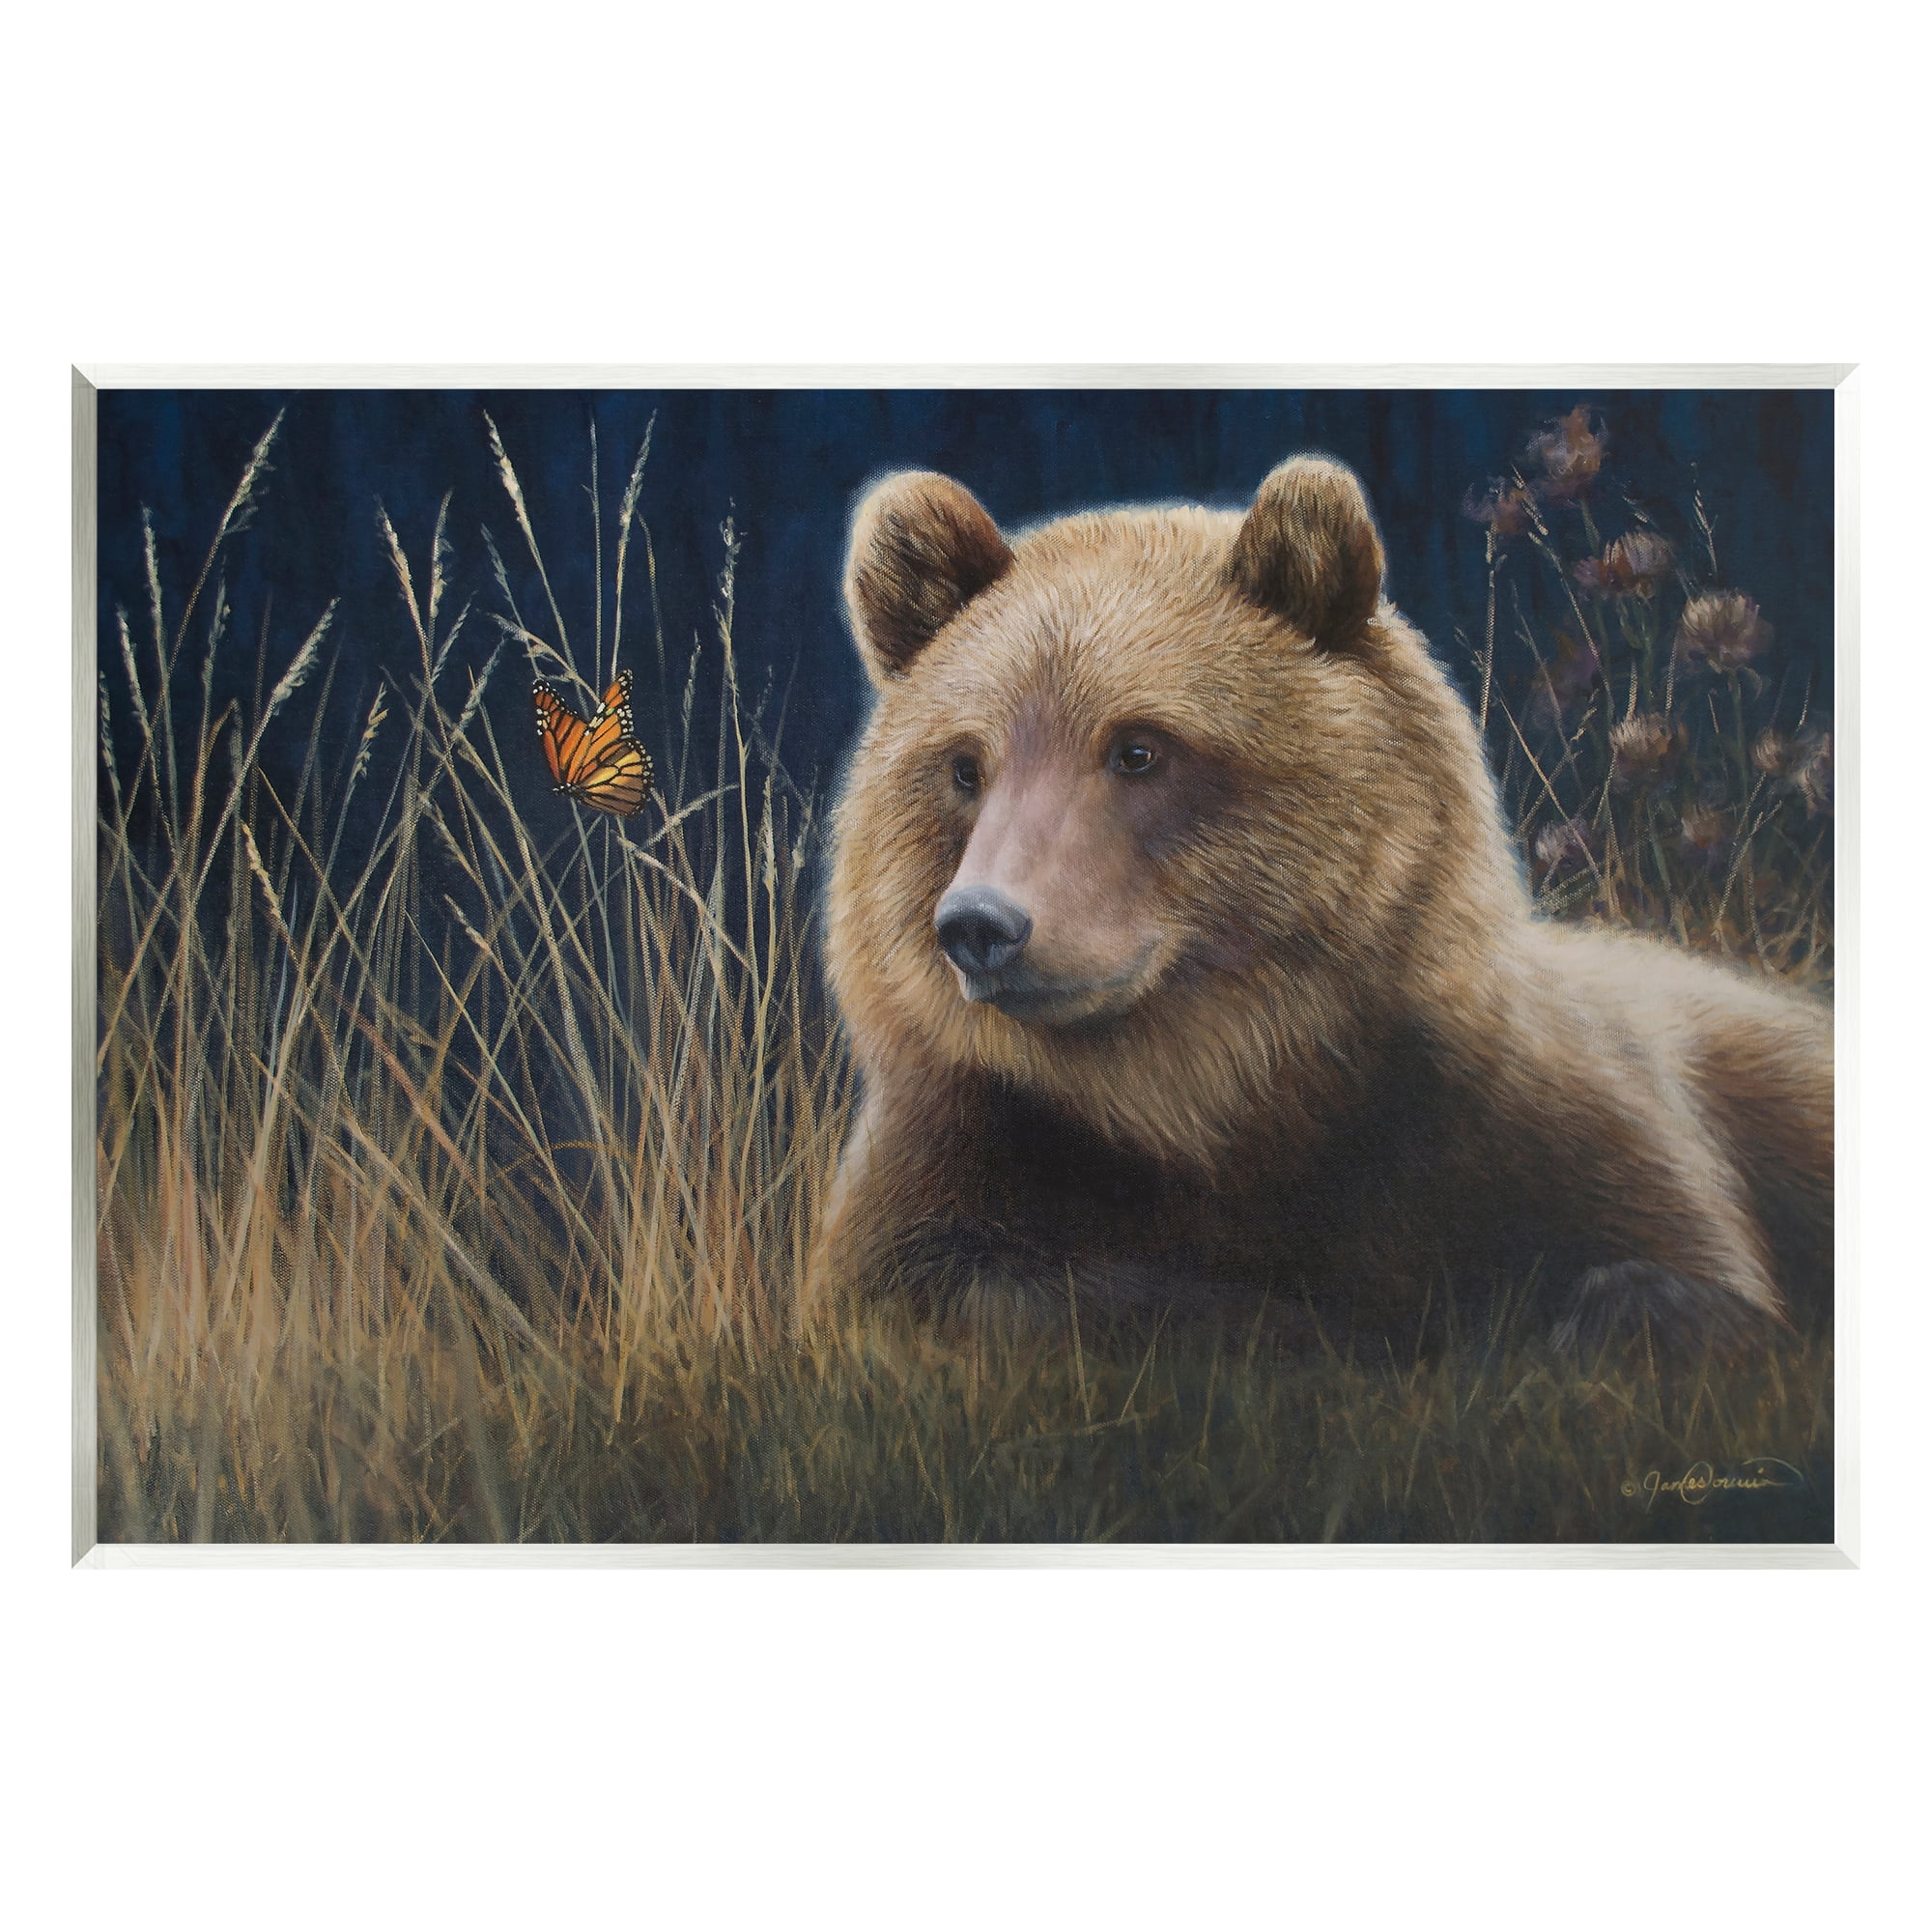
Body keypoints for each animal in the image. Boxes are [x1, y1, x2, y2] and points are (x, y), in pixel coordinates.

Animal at [808, 454, 1833, 1356]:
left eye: (1139, 748)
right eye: (963, 765)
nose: (981, 925)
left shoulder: (1515, 1113)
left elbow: (1669, 1260)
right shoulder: (966, 1145)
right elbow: (952, 1287)